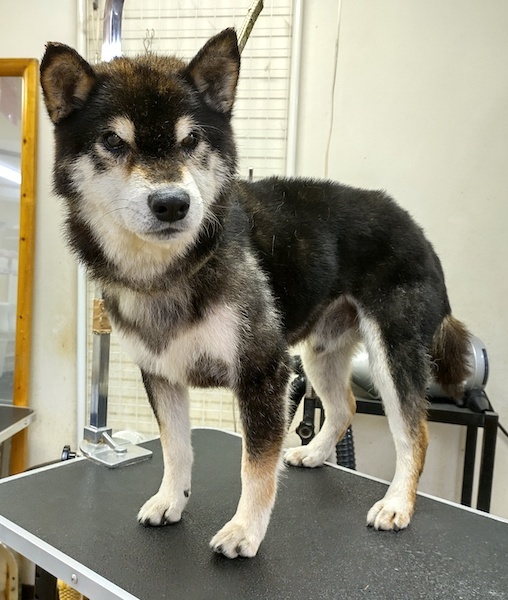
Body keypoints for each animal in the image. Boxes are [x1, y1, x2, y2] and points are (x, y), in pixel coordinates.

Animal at [40, 28, 471, 558]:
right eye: (113, 141)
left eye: (191, 140)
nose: (172, 204)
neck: (170, 271)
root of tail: (415, 227)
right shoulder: (161, 372)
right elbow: (176, 448)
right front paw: (170, 500)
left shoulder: (264, 370)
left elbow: (256, 467)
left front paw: (245, 531)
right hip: (319, 352)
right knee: (345, 406)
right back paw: (315, 452)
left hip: (391, 351)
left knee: (415, 433)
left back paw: (397, 504)